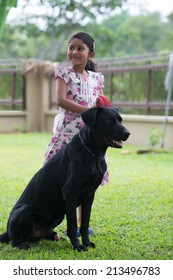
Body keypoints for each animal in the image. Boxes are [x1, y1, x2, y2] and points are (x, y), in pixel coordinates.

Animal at [0, 107, 130, 252]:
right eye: (108, 120)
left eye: (120, 120)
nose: (127, 133)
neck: (92, 153)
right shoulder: (70, 192)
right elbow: (72, 224)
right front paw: (77, 246)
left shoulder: (89, 195)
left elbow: (84, 223)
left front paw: (87, 243)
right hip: (23, 211)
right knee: (14, 240)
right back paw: (21, 244)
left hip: (59, 215)